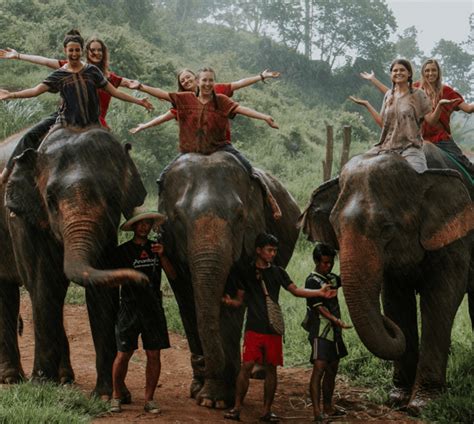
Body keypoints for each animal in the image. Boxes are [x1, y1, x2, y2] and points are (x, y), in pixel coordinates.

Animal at [0, 126, 147, 397]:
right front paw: (41, 385)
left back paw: (65, 378)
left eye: (113, 197)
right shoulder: (22, 220)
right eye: (50, 199)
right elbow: (43, 284)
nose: (142, 279)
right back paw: (12, 378)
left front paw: (106, 394)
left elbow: (101, 292)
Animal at [158, 151, 301, 408]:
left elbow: (234, 307)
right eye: (177, 217)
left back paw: (258, 372)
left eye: (240, 216)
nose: (201, 363)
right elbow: (186, 301)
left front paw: (216, 399)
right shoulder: (170, 249)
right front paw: (202, 392)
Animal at [300, 142, 473, 415]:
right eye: (334, 228)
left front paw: (422, 405)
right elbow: (395, 300)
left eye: (387, 228)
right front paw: (397, 399)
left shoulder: (455, 235)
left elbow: (442, 297)